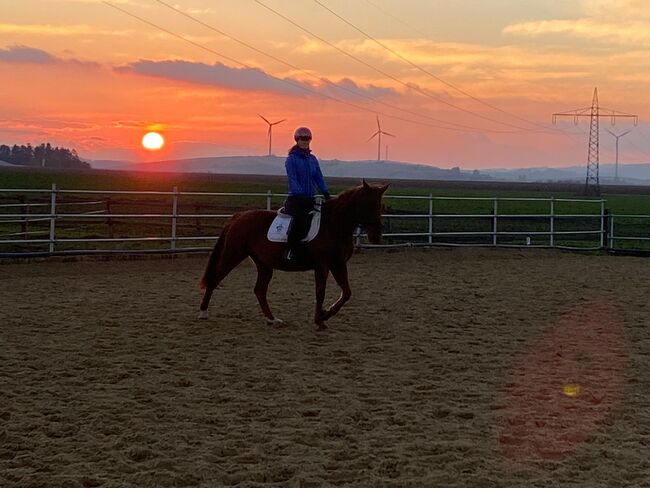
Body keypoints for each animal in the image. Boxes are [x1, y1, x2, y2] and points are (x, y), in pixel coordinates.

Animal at [197, 181, 388, 330]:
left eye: (380, 206)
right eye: (369, 205)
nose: (376, 236)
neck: (334, 225)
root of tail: (238, 217)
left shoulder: (338, 264)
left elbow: (347, 292)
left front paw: (325, 314)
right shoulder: (322, 265)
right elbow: (320, 292)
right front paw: (320, 319)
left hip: (264, 264)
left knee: (259, 290)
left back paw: (272, 319)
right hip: (232, 255)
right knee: (215, 279)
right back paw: (203, 312)